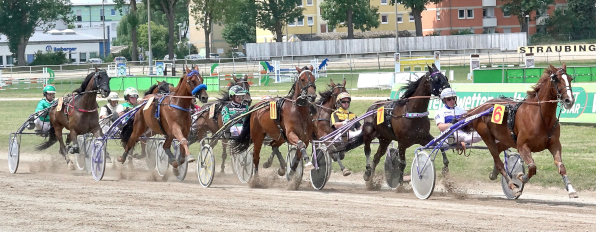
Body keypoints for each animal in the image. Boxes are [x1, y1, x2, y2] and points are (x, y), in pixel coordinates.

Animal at [460, 65, 576, 198]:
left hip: (506, 139)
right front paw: (520, 177)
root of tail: (481, 108)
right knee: (498, 161)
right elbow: (532, 167)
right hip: (486, 135)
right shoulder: (522, 146)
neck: (540, 117)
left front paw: (571, 189)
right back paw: (512, 186)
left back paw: (495, 173)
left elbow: (561, 166)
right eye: (556, 79)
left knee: (498, 151)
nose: (569, 100)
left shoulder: (554, 144)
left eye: (570, 78)